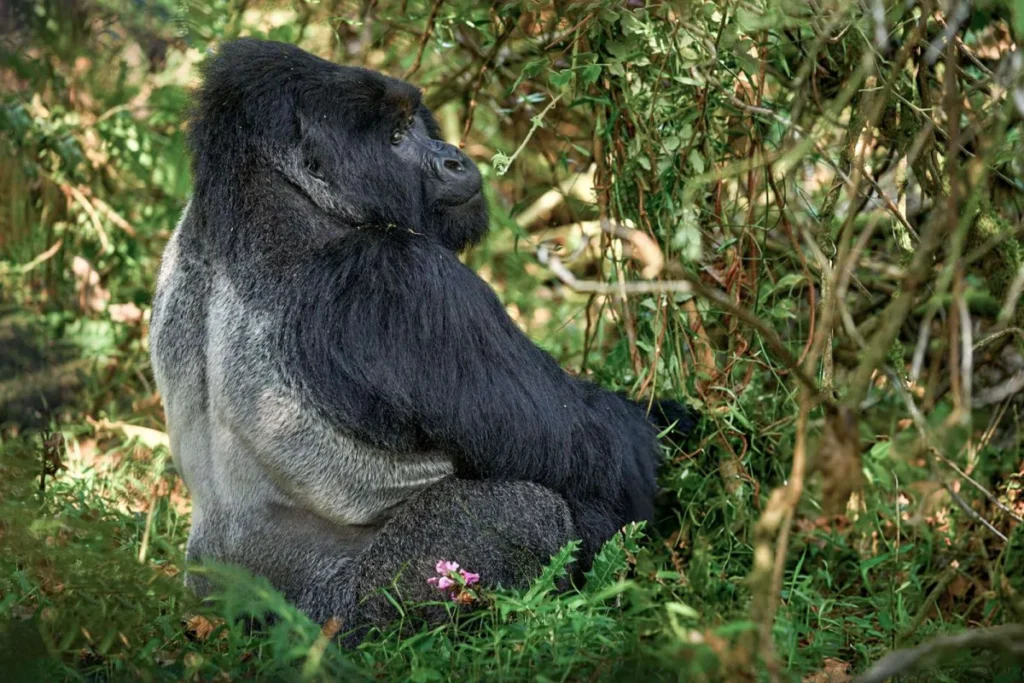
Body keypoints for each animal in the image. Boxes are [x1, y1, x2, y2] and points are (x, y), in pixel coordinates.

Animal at [149, 38, 696, 637]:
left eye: (413, 122)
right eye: (394, 139)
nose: (453, 155)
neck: (269, 196)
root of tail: (214, 615)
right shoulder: (403, 279)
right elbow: (602, 450)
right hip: (340, 618)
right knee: (525, 514)